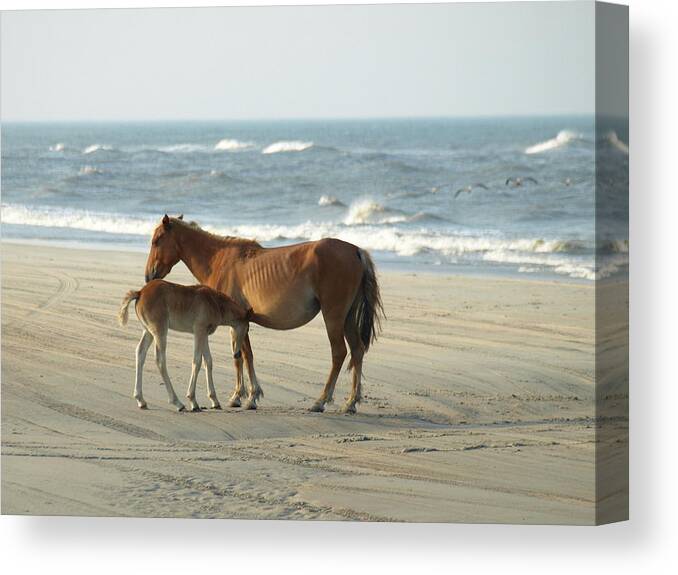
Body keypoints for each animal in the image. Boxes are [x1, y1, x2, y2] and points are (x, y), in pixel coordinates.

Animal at [119, 280, 258, 412]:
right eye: (247, 328)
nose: (237, 354)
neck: (215, 303)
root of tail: (140, 293)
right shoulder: (199, 331)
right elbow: (197, 361)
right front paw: (193, 401)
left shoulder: (204, 334)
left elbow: (208, 361)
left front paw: (215, 401)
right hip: (159, 331)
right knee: (160, 360)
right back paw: (178, 403)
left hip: (148, 331)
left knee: (140, 353)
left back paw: (141, 400)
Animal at [145, 216, 386, 414]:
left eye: (157, 240)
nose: (149, 276)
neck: (220, 260)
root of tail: (355, 250)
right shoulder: (240, 324)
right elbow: (245, 356)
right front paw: (245, 396)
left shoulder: (238, 323)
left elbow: (241, 357)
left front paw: (245, 397)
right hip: (348, 318)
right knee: (357, 351)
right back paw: (350, 403)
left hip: (333, 316)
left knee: (339, 353)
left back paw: (320, 401)